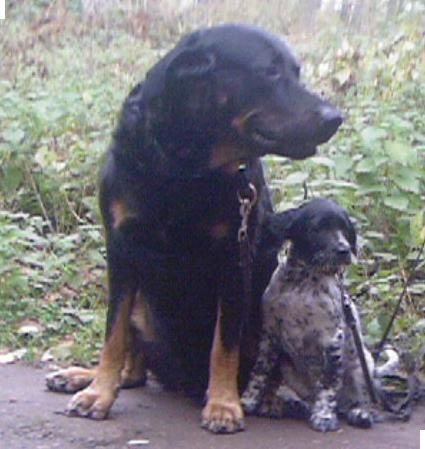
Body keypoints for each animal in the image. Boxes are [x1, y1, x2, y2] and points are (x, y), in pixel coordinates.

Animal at [44, 23, 342, 430]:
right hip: (142, 304)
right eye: (269, 71)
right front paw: (98, 393)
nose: (335, 117)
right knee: (133, 370)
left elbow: (224, 344)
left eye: (296, 72)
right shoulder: (121, 250)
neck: (183, 167)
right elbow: (113, 335)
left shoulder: (234, 258)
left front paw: (223, 404)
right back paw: (80, 376)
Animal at [242, 199, 398, 430]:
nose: (344, 250)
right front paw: (248, 399)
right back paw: (299, 405)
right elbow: (259, 370)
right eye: (318, 228)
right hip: (289, 369)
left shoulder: (331, 339)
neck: (303, 282)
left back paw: (359, 413)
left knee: (357, 400)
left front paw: (324, 416)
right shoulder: (269, 333)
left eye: (344, 229)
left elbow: (328, 383)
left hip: (361, 369)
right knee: (313, 397)